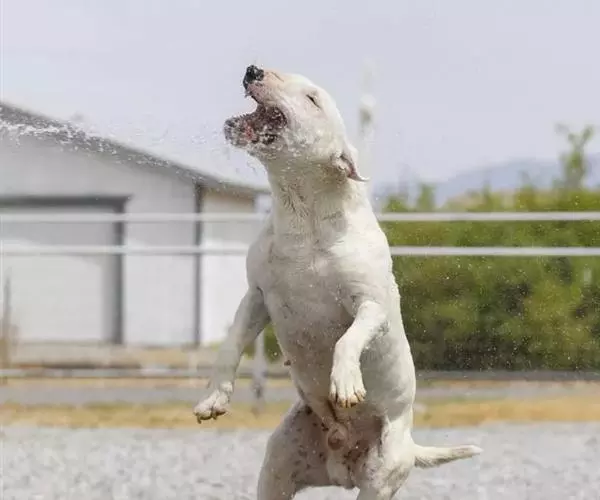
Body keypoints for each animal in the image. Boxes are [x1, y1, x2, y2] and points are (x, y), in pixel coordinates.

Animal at [193, 65, 482, 499]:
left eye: (312, 98)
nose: (253, 70)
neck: (304, 217)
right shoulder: (257, 296)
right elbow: (230, 346)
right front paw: (213, 399)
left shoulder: (371, 305)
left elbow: (349, 338)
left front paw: (345, 383)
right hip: (279, 464)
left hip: (381, 473)